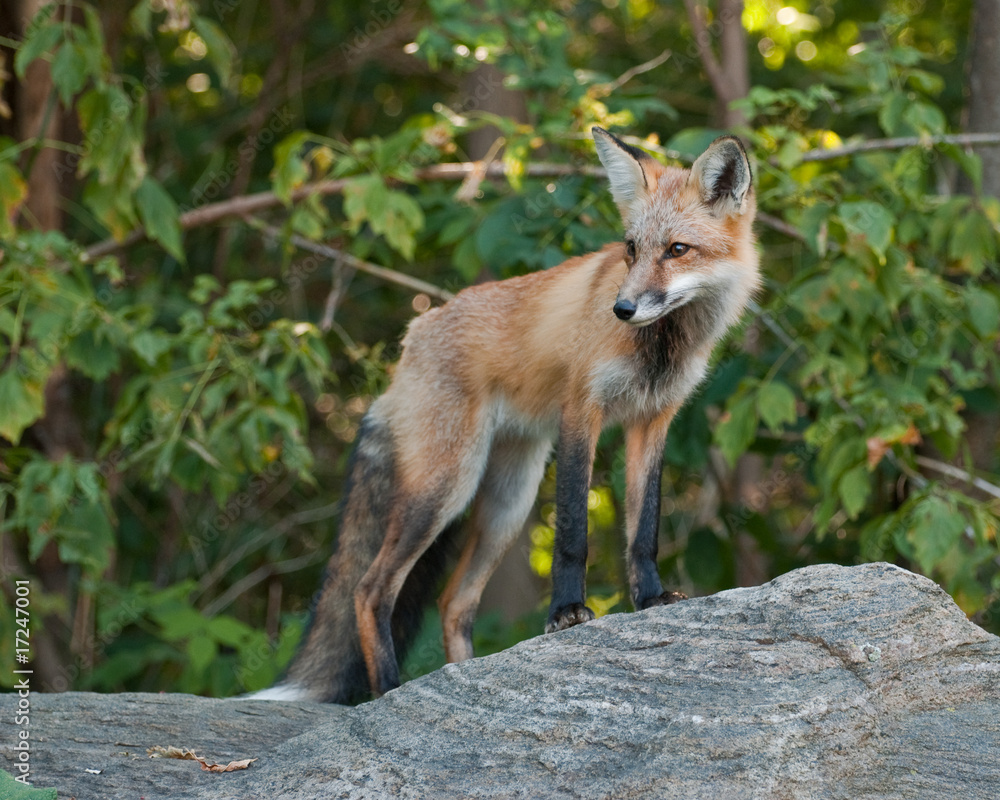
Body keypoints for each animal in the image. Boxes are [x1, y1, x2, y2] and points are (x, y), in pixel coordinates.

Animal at [256, 125, 756, 700]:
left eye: (677, 250)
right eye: (631, 248)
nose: (622, 309)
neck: (661, 349)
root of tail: (410, 340)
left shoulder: (653, 420)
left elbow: (643, 528)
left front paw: (650, 598)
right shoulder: (580, 410)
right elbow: (572, 533)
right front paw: (566, 612)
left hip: (507, 504)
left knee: (454, 603)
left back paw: (461, 676)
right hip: (448, 486)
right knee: (369, 589)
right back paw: (388, 690)